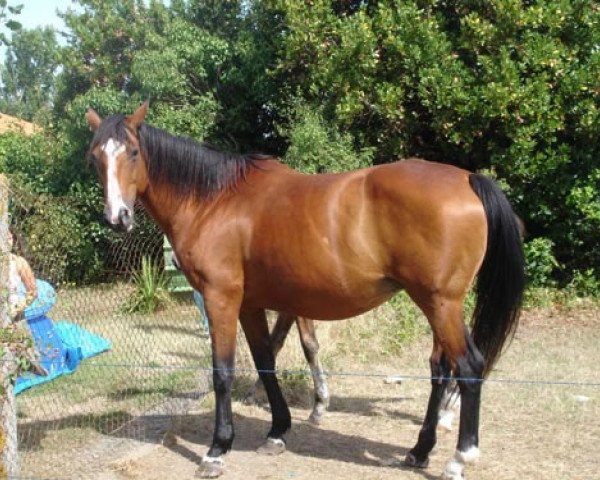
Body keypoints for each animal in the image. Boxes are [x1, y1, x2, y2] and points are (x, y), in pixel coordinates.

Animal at [86, 104, 524, 480]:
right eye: (95, 157)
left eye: (133, 152)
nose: (117, 218)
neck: (214, 200)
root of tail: (467, 179)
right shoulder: (250, 304)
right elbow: (266, 360)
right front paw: (278, 431)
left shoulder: (220, 298)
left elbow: (223, 372)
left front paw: (216, 450)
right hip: (438, 305)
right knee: (441, 368)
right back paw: (419, 450)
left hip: (440, 303)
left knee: (468, 367)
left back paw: (459, 459)